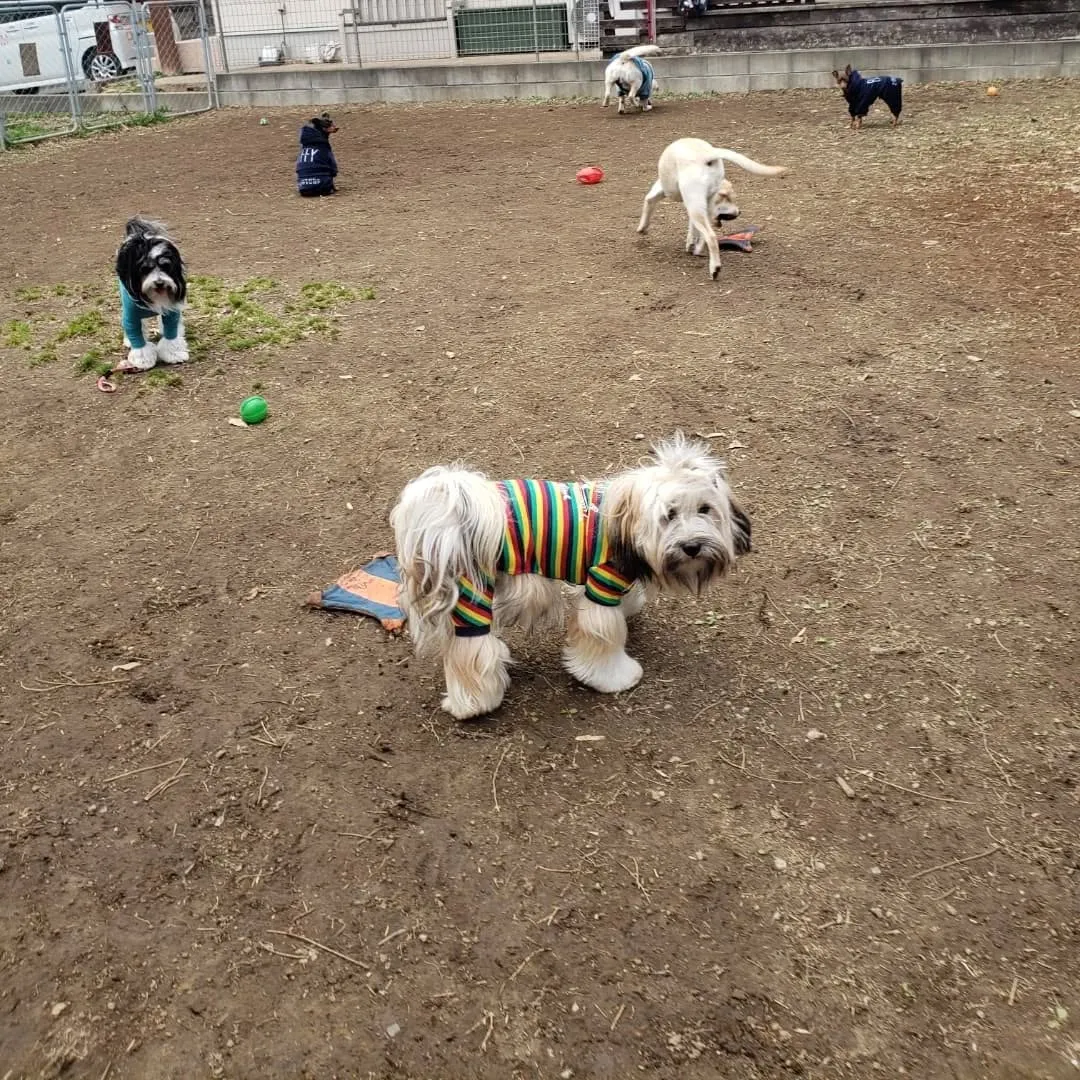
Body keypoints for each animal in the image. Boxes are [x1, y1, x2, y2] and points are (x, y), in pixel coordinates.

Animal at [116, 217, 190, 373]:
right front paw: (143, 359)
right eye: (145, 269)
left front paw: (174, 353)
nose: (160, 283)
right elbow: (137, 337)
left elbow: (171, 333)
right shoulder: (131, 317)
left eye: (166, 266)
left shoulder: (171, 312)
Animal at [388, 434, 751, 721]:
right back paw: (472, 705)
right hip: (473, 594)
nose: (692, 546)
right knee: (470, 653)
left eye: (705, 509)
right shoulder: (603, 583)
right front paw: (615, 677)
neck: (625, 522)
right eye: (669, 515)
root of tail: (455, 512)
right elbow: (602, 635)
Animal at [635, 138, 790, 278]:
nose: (739, 212)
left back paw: (714, 268)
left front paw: (642, 228)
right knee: (706, 233)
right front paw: (691, 243)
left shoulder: (663, 190)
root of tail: (707, 154)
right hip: (700, 207)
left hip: (695, 204)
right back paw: (699, 250)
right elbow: (693, 228)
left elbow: (648, 200)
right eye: (730, 198)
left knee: (711, 236)